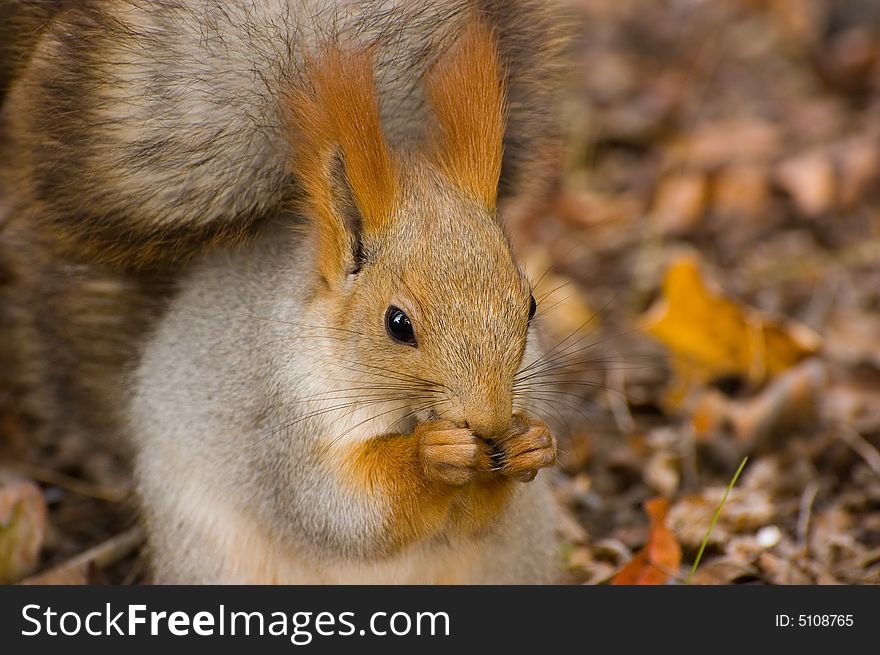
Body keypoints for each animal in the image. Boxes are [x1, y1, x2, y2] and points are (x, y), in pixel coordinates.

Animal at [1, 0, 572, 584]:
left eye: (529, 306)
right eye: (398, 324)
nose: (489, 421)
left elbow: (478, 516)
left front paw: (532, 444)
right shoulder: (280, 418)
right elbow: (338, 510)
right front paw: (430, 455)